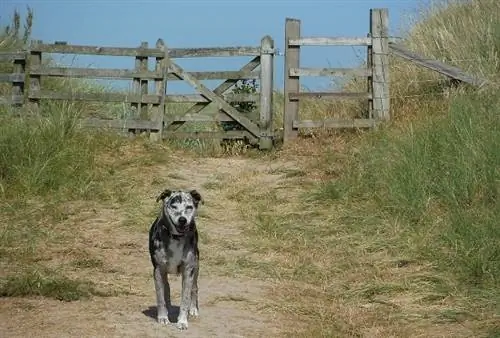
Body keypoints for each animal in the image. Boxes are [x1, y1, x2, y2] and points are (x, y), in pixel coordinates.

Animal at [148, 189, 203, 332]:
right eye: (173, 206)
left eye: (189, 207)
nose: (182, 220)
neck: (176, 237)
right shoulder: (158, 270)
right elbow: (160, 296)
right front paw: (162, 317)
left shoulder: (188, 270)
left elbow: (185, 298)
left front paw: (182, 321)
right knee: (166, 289)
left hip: (196, 265)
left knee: (195, 288)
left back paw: (193, 309)